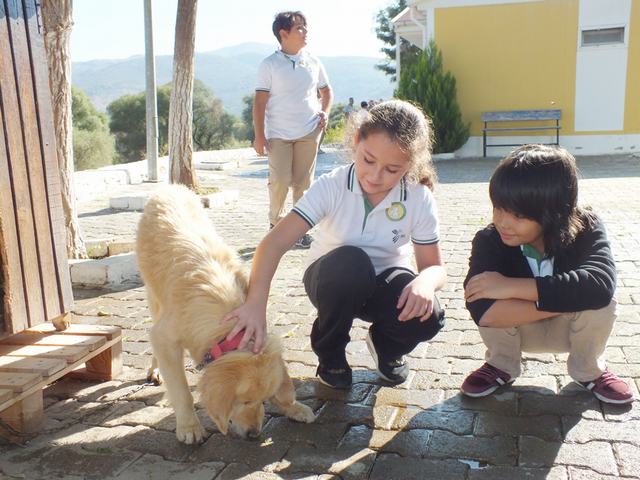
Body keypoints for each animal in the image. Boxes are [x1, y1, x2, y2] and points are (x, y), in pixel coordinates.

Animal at [136, 184, 316, 442]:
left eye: (263, 400)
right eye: (244, 401)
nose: (254, 434)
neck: (225, 324)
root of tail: (171, 188)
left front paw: (293, 407)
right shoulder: (166, 337)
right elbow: (181, 390)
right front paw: (189, 426)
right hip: (154, 298)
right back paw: (155, 370)